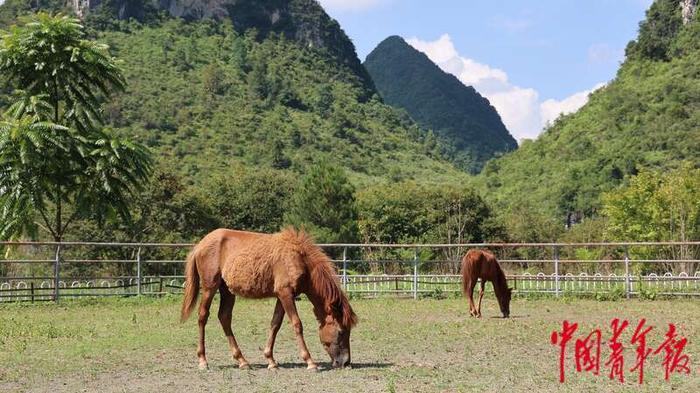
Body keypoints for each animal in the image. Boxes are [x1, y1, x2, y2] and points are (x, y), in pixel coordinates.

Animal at [180, 227, 358, 370]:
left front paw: (271, 360)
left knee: (224, 317)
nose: (346, 362)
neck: (299, 258)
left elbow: (275, 324)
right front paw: (310, 362)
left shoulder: (283, 296)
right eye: (341, 331)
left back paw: (242, 361)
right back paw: (203, 360)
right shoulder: (285, 293)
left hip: (227, 291)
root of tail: (199, 245)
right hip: (209, 287)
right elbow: (297, 324)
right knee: (203, 316)